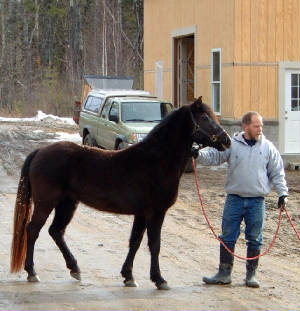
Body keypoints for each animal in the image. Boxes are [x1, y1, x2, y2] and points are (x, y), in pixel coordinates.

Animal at [9, 97, 230, 290]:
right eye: (204, 118)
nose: (226, 141)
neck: (156, 160)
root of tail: (40, 151)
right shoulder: (156, 212)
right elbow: (154, 244)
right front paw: (159, 280)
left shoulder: (142, 214)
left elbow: (135, 242)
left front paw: (128, 276)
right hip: (46, 202)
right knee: (33, 230)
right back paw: (32, 272)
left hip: (67, 203)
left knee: (56, 231)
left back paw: (75, 269)